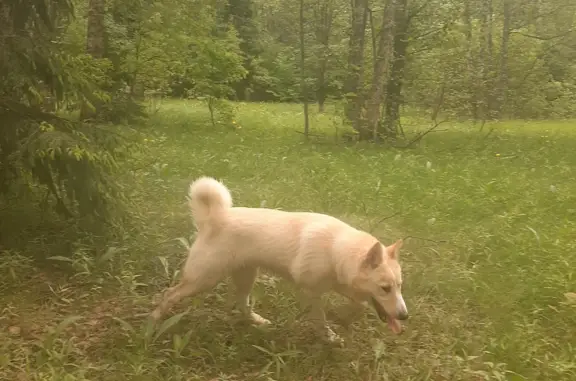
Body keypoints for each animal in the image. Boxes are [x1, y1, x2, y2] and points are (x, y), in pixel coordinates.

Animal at [151, 177, 408, 342]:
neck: (336, 250)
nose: (405, 316)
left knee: (242, 304)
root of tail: (215, 218)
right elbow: (321, 319)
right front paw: (329, 337)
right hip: (203, 280)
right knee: (169, 294)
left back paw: (257, 322)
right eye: (385, 288)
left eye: (399, 286)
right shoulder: (312, 293)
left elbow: (357, 305)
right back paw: (153, 322)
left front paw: (345, 319)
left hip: (246, 277)